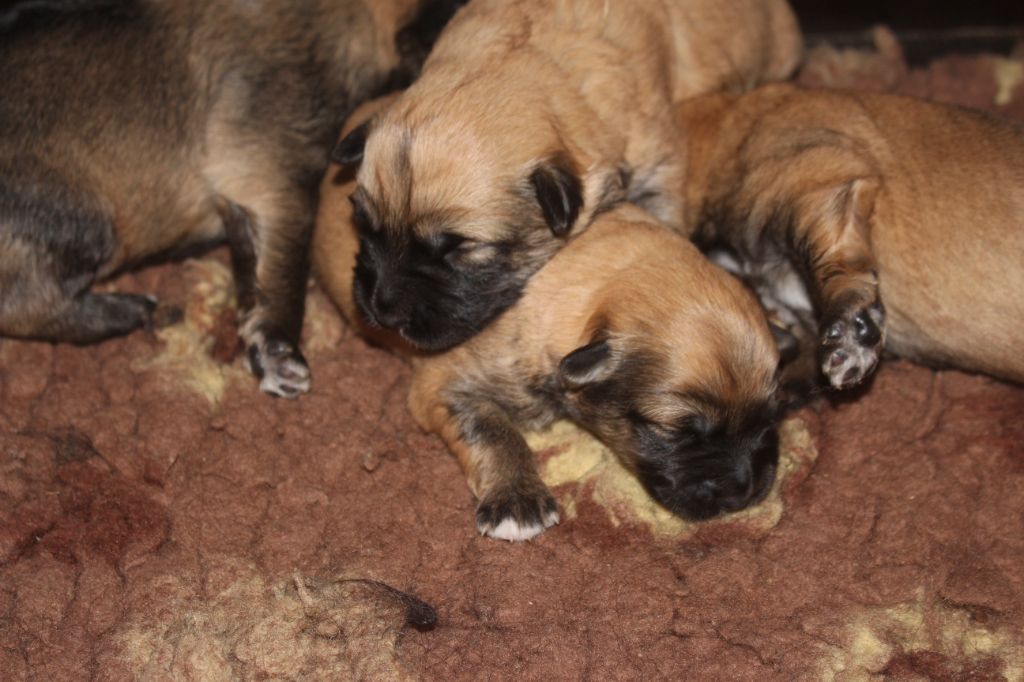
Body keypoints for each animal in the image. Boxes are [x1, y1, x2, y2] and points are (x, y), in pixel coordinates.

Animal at [0, 0, 464, 395]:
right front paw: (279, 346)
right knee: (23, 304)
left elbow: (254, 263)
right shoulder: (277, 154)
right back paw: (127, 310)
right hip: (82, 220)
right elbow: (288, 254)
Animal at [315, 98, 778, 540]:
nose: (746, 491)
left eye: (773, 412)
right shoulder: (444, 386)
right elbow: (493, 431)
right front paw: (517, 502)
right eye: (677, 431)